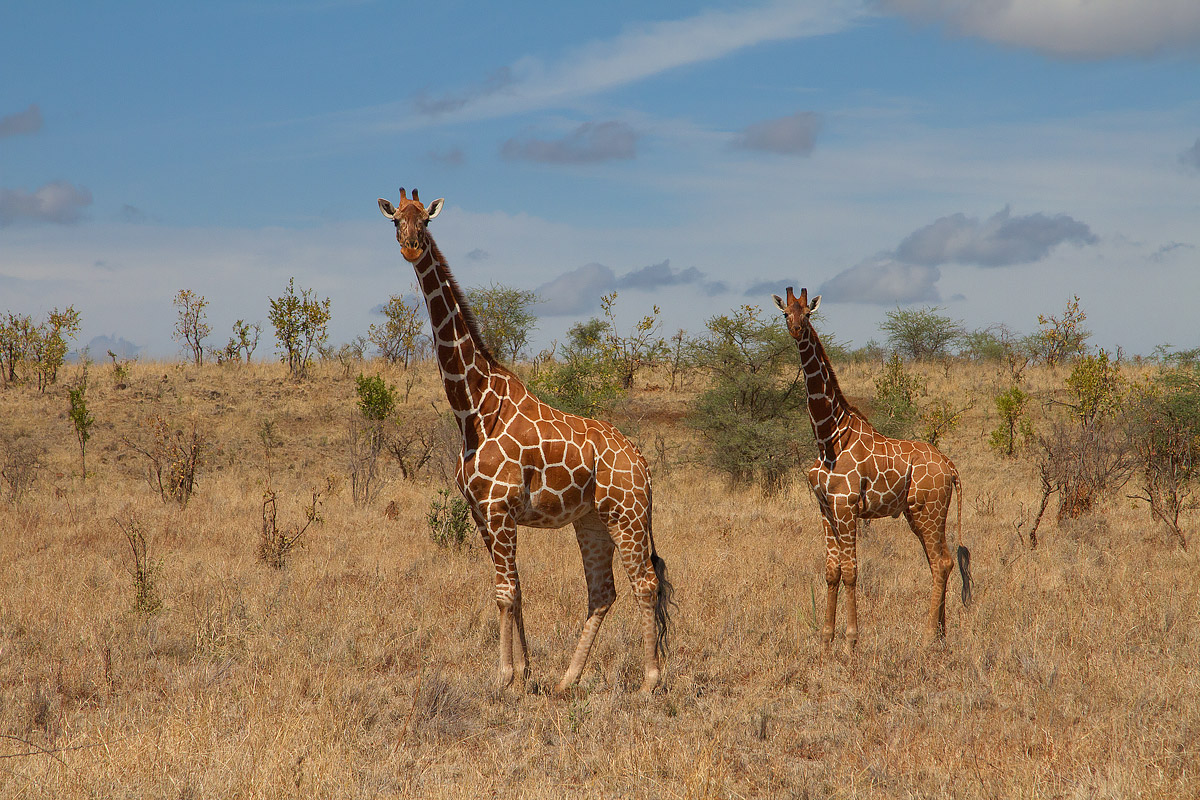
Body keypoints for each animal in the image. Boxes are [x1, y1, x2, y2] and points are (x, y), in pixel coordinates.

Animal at [378, 188, 673, 694]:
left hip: (627, 514)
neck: (473, 408)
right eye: (395, 219)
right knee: (603, 592)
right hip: (592, 520)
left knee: (645, 584)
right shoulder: (481, 513)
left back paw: (650, 681)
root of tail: (642, 461)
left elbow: (504, 592)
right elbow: (512, 590)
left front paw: (504, 676)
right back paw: (567, 680)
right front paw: (526, 674)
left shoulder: (499, 509)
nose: (412, 247)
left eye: (426, 221)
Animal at [772, 287, 972, 649]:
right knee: (942, 561)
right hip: (919, 513)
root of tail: (950, 467)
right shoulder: (825, 507)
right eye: (784, 313)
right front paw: (826, 642)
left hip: (929, 509)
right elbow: (831, 571)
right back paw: (941, 635)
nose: (795, 329)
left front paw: (851, 642)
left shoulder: (847, 505)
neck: (829, 436)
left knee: (941, 562)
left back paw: (926, 638)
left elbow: (851, 571)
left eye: (807, 313)